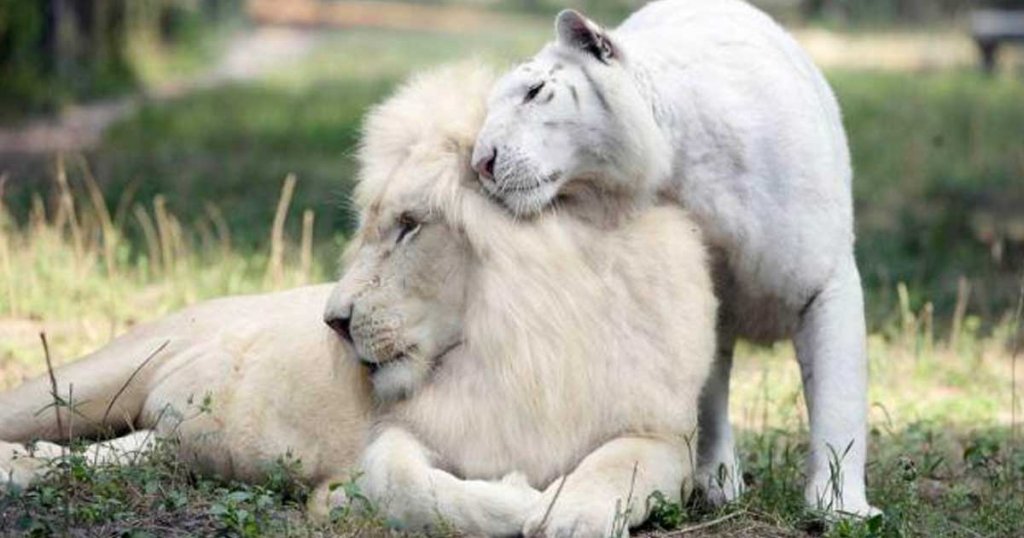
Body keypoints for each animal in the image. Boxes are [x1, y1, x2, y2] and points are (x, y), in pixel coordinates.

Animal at [471, 0, 880, 516]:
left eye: (534, 91)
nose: (480, 163)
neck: (683, 164)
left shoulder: (825, 281)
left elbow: (838, 398)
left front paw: (841, 507)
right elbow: (706, 396)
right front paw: (719, 483)